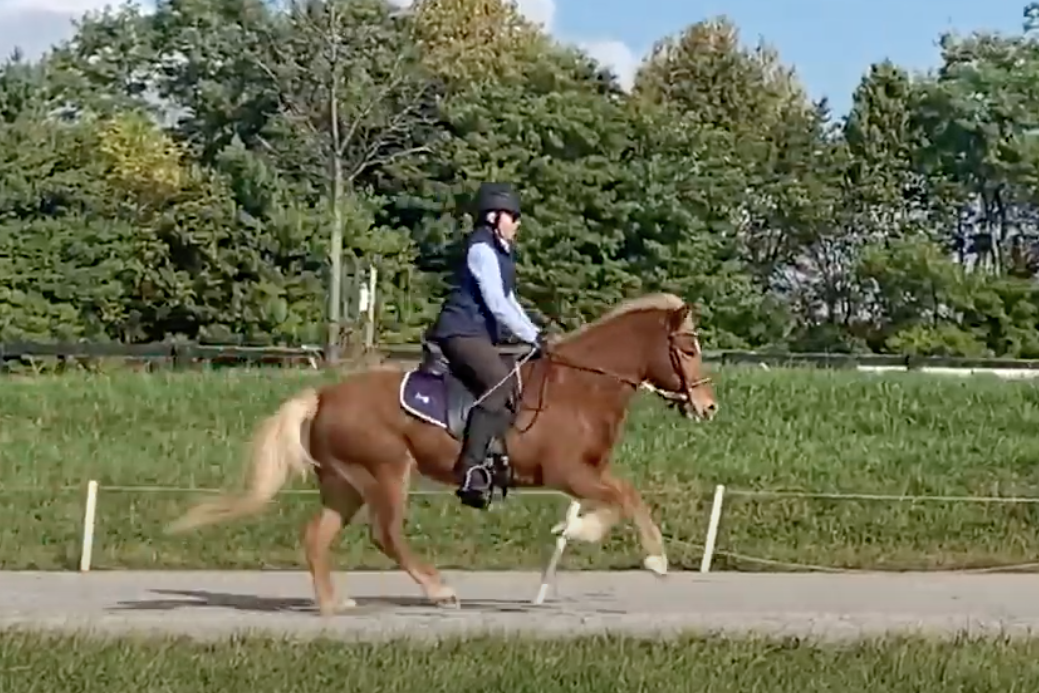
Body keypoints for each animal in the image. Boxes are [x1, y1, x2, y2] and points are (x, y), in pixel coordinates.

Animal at [166, 292, 718, 610]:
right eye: (688, 348)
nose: (708, 406)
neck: (580, 388)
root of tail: (324, 396)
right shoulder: (567, 472)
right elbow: (628, 496)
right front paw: (654, 558)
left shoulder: (586, 474)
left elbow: (618, 498)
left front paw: (577, 530)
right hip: (385, 472)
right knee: (385, 534)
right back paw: (437, 590)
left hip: (345, 483)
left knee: (317, 536)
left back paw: (333, 604)